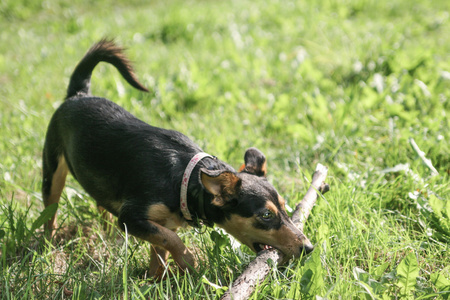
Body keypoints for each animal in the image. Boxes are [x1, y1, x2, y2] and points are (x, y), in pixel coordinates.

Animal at [42, 38, 312, 278]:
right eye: (265, 216)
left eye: (285, 208)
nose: (308, 248)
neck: (185, 178)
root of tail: (78, 94)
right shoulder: (132, 217)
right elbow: (172, 240)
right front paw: (188, 262)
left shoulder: (159, 223)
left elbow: (160, 249)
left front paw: (153, 281)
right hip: (52, 170)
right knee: (49, 214)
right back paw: (47, 248)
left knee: (100, 203)